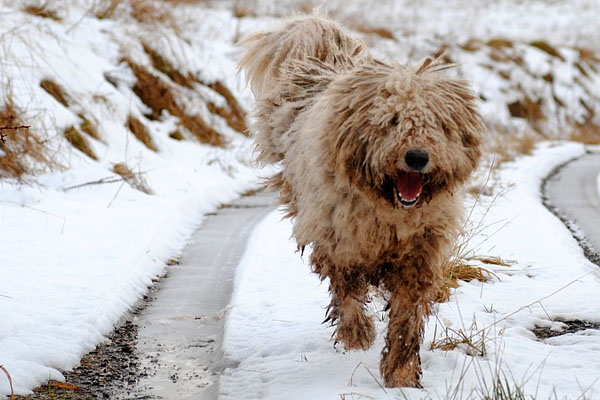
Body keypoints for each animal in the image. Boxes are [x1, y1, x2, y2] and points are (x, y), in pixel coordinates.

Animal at [238, 14, 482, 388]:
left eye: (436, 125)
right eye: (392, 121)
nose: (416, 157)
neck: (389, 211)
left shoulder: (420, 253)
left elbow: (407, 318)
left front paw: (401, 374)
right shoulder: (339, 241)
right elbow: (348, 292)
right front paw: (358, 335)